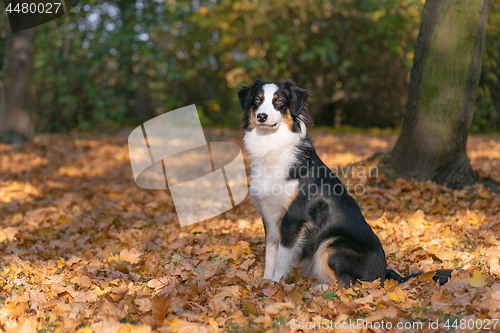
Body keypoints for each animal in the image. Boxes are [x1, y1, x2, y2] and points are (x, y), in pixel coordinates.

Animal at [237, 78, 450, 288]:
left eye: (279, 101)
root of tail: (385, 273)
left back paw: (319, 287)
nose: (261, 116)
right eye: (257, 100)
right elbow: (270, 253)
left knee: (348, 283)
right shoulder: (269, 213)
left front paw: (276, 285)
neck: (272, 145)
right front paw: (266, 283)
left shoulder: (293, 218)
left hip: (333, 242)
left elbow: (282, 257)